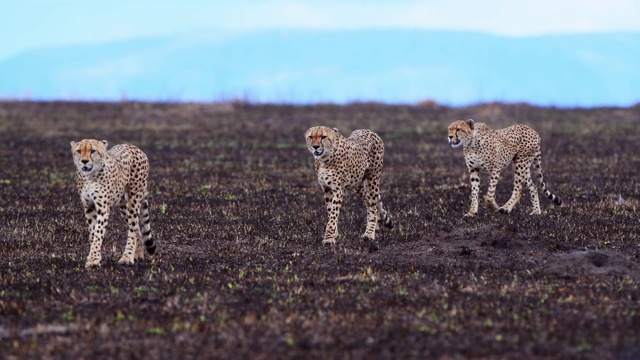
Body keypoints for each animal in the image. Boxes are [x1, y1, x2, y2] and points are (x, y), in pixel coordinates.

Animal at [70, 139, 157, 268]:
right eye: (79, 151)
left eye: (93, 151)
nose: (84, 161)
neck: (90, 176)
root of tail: (134, 147)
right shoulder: (88, 207)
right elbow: (93, 233)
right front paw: (95, 257)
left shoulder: (103, 208)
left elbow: (98, 233)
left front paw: (93, 260)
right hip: (123, 205)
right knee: (136, 227)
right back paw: (138, 254)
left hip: (133, 200)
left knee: (133, 227)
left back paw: (127, 257)